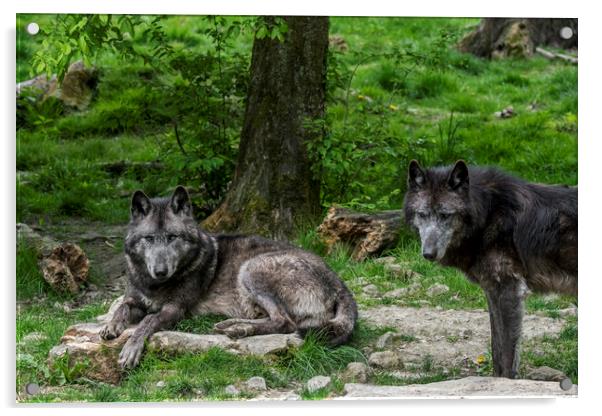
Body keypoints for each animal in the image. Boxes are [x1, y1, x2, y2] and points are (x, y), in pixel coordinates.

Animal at [99, 187, 356, 368]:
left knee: (285, 322)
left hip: (251, 268)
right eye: (149, 238)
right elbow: (122, 306)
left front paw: (131, 348)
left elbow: (147, 321)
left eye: (172, 237)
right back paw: (231, 324)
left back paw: (237, 330)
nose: (160, 271)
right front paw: (111, 325)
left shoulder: (174, 309)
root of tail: (340, 283)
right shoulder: (135, 298)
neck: (153, 284)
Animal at [400, 160, 576, 380]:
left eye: (445, 215)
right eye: (422, 214)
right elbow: (496, 349)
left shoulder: (510, 291)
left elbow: (508, 356)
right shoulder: (492, 292)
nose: (428, 254)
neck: (488, 213)